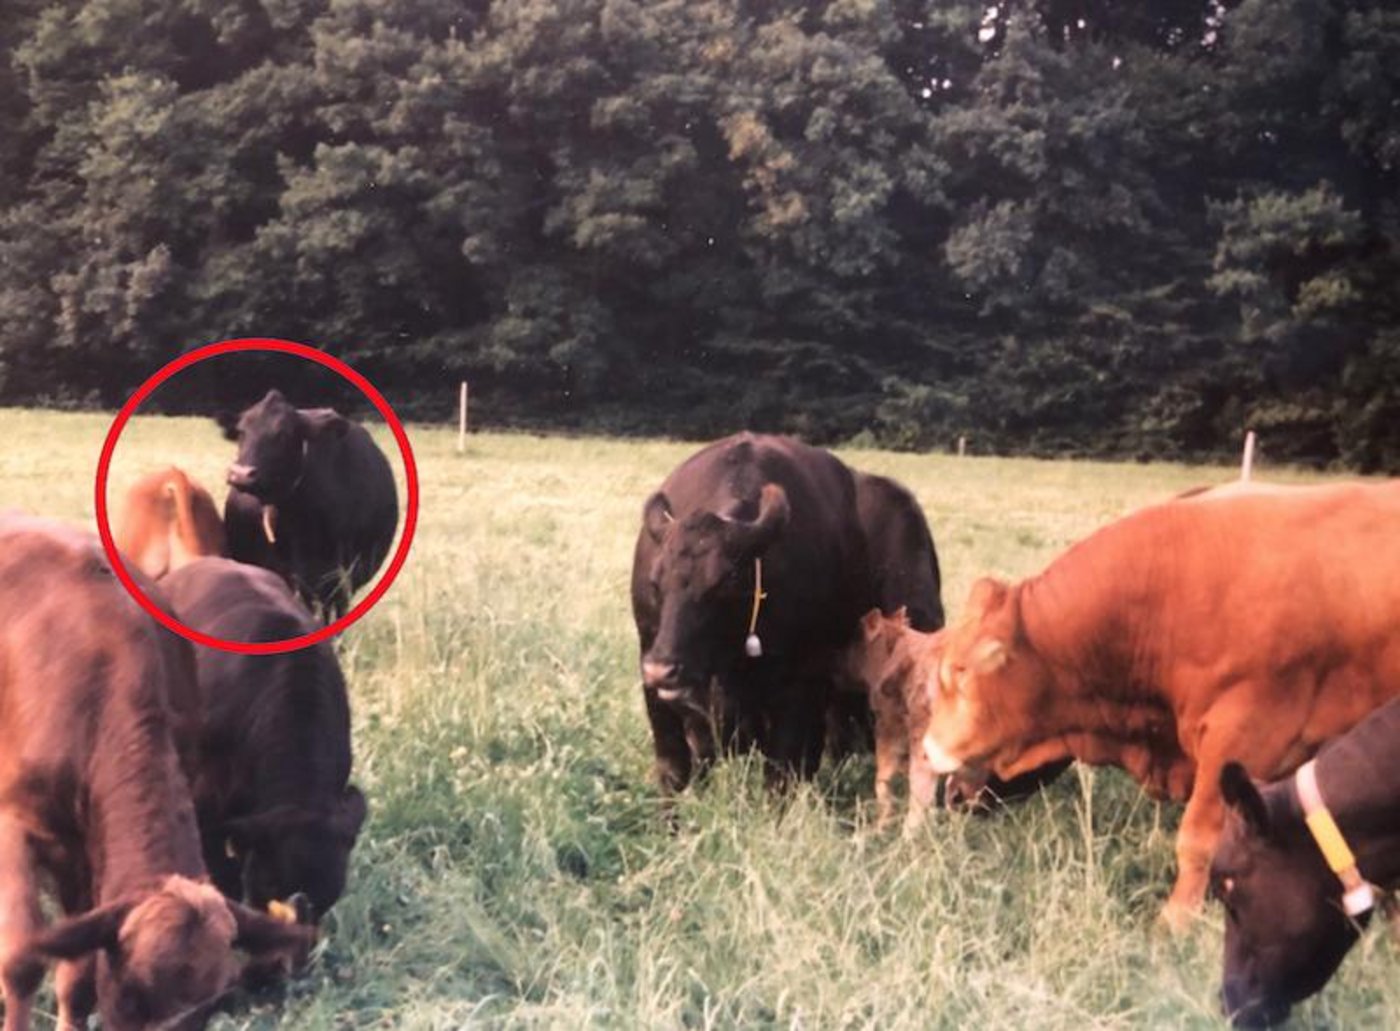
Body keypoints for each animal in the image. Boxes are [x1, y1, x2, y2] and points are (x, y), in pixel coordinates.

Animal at [0, 517, 312, 1031]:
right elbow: (22, 962)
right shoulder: (14, 826)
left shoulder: (87, 853)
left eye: (206, 1008)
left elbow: (77, 977)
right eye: (131, 992)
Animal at [631, 433, 877, 793]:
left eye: (726, 582)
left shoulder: (798, 686)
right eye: (655, 581)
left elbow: (781, 772)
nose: (663, 669)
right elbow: (673, 768)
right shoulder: (653, 681)